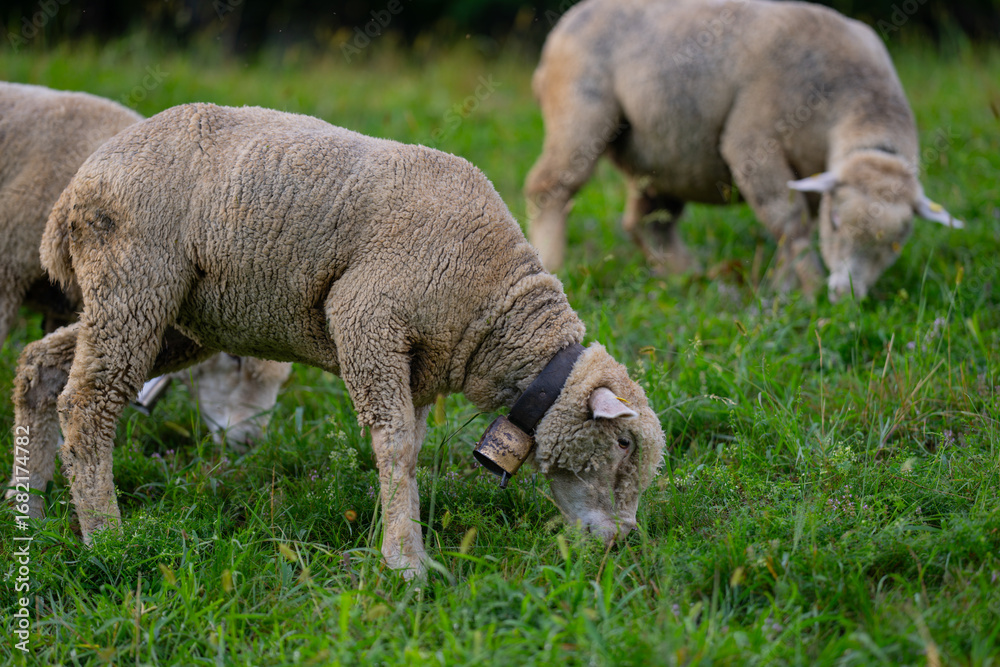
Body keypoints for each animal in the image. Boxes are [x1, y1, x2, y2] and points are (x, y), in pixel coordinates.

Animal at [524, 0, 963, 300]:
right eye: (838, 221)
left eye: (897, 242)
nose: (845, 295)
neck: (854, 100)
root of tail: (571, 16)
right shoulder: (753, 143)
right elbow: (791, 222)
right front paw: (808, 290)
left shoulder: (811, 171)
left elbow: (795, 227)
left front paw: (784, 289)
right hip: (578, 112)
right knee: (549, 188)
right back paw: (553, 264)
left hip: (664, 155)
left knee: (649, 221)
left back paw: (690, 278)